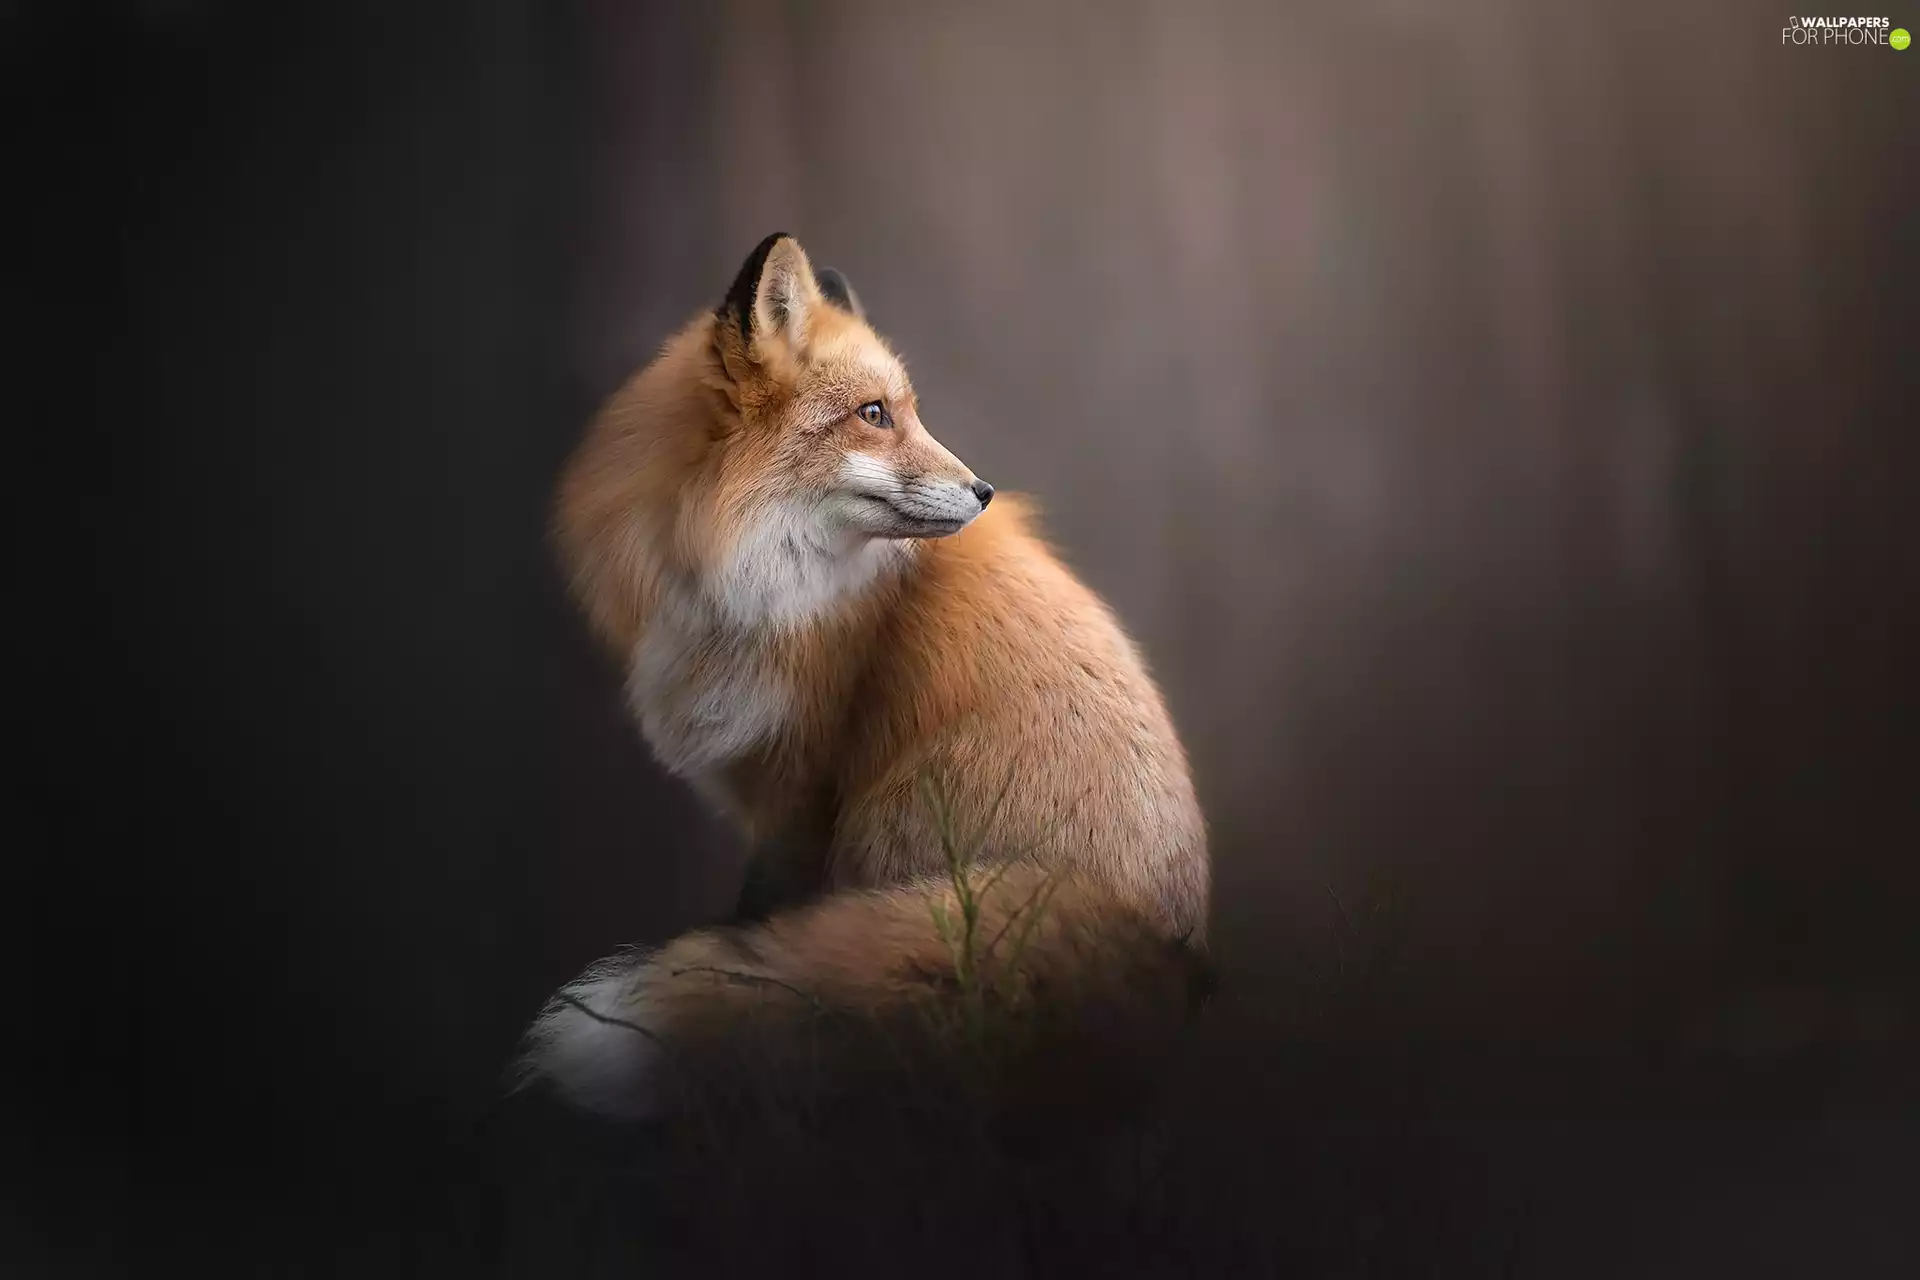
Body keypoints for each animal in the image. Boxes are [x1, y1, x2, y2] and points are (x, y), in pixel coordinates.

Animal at [519, 233, 1212, 1124]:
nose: (985, 491)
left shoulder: (805, 784)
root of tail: (1167, 943)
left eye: (906, 411)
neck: (741, 583)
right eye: (874, 414)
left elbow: (762, 914)